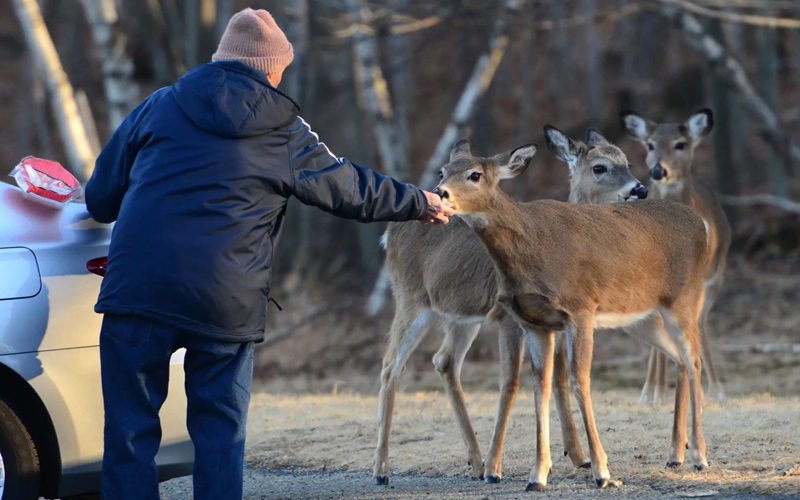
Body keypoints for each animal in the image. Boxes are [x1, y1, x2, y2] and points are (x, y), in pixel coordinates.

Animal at [372, 127, 648, 486]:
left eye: (627, 162)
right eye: (599, 167)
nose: (639, 189)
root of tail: (388, 233)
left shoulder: (555, 318)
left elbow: (557, 374)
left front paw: (578, 456)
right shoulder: (508, 316)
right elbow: (511, 382)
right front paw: (497, 468)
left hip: (461, 317)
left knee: (444, 360)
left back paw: (474, 460)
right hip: (411, 298)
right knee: (391, 365)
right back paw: (382, 470)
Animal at [434, 136, 708, 488]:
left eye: (475, 175)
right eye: (443, 170)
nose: (440, 192)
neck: (530, 248)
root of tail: (701, 223)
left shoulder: (580, 308)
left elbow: (579, 380)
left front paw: (602, 472)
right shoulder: (533, 321)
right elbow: (540, 386)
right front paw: (537, 475)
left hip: (685, 299)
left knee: (695, 361)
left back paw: (699, 456)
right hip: (642, 317)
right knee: (680, 360)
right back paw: (675, 454)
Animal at [620, 109, 736, 406]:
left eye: (681, 144)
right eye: (649, 145)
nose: (658, 171)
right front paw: (652, 392)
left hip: (715, 276)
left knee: (700, 324)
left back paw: (716, 391)